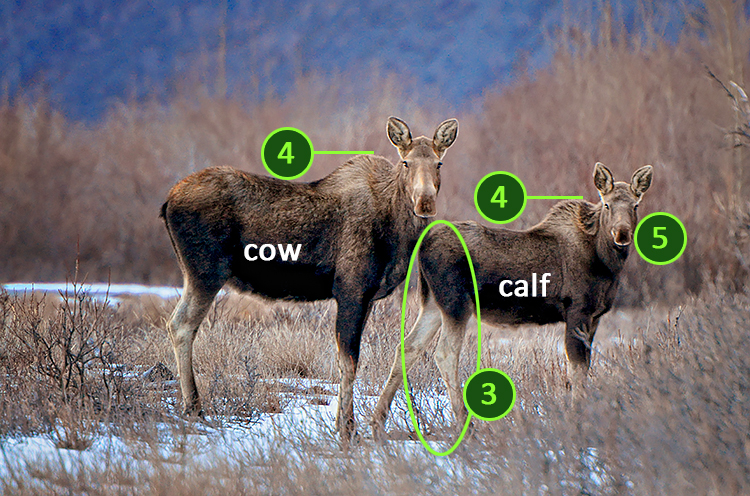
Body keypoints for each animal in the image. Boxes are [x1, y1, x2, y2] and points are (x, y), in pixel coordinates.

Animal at [160, 117, 458, 439]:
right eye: (406, 162)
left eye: (439, 163)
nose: (425, 203)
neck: (399, 234)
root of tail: (167, 203)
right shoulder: (350, 290)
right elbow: (349, 361)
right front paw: (347, 428)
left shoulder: (367, 297)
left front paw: (346, 424)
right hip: (205, 273)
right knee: (181, 325)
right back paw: (194, 408)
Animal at [371, 162, 653, 435]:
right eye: (607, 204)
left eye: (635, 205)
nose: (622, 234)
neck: (606, 264)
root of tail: (421, 245)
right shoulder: (578, 310)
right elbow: (577, 368)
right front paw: (576, 416)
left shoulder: (595, 317)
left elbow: (585, 365)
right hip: (456, 303)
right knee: (445, 353)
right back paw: (465, 424)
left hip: (431, 304)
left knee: (408, 346)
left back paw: (377, 421)